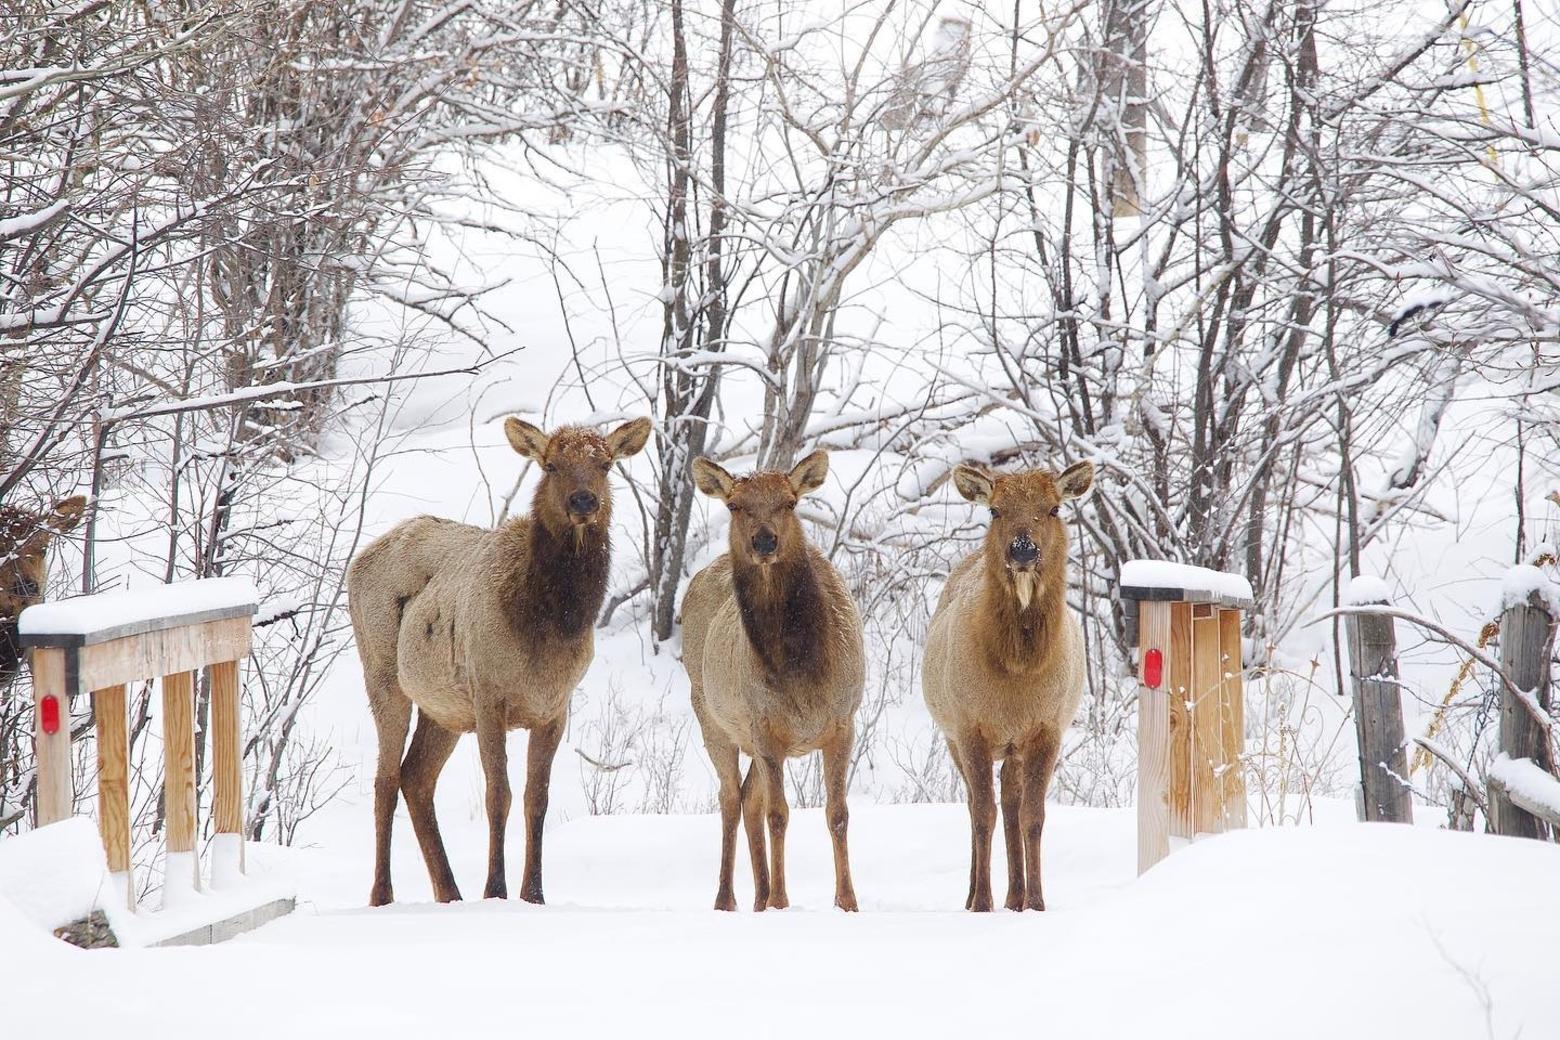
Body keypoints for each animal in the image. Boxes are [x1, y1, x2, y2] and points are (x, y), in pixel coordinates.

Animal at [351, 417, 648, 904]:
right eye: (550, 465)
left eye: (606, 464)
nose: (584, 501)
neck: (548, 627)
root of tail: (357, 560)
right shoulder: (489, 694)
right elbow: (498, 795)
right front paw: (495, 890)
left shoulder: (554, 707)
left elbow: (536, 798)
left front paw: (534, 893)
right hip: (383, 677)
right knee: (385, 781)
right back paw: (382, 895)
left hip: (444, 708)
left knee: (416, 777)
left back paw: (449, 892)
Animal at [680, 452, 867, 916]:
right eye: (735, 505)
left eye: (789, 502)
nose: (764, 541)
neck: (802, 675)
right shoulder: (765, 727)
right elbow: (779, 814)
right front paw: (784, 900)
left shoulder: (843, 721)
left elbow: (837, 813)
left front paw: (847, 901)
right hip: (712, 716)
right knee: (731, 799)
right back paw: (728, 899)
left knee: (748, 799)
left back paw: (759, 897)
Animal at [923, 461, 1098, 910]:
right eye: (995, 510)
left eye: (1054, 508)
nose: (1022, 550)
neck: (1018, 675)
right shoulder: (970, 726)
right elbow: (982, 813)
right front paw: (981, 902)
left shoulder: (1047, 729)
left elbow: (1033, 816)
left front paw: (1036, 901)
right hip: (953, 735)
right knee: (976, 805)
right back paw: (975, 894)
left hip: (1014, 748)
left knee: (1011, 803)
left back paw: (1015, 896)